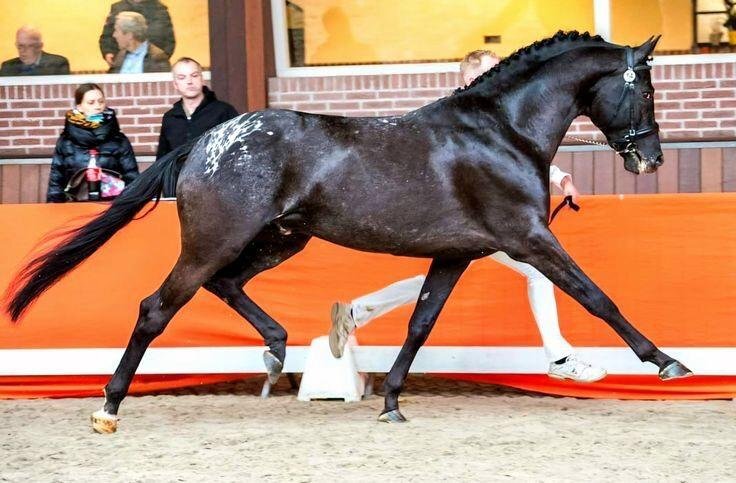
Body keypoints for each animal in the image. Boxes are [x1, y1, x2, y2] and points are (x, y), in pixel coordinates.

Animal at [6, 31, 692, 433]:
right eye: (647, 90)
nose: (651, 159)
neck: (502, 132)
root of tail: (205, 141)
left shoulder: (457, 253)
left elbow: (420, 323)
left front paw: (390, 403)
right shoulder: (527, 239)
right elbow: (597, 297)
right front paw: (666, 362)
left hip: (280, 238)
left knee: (227, 286)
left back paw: (277, 348)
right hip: (217, 239)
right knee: (156, 307)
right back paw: (108, 407)